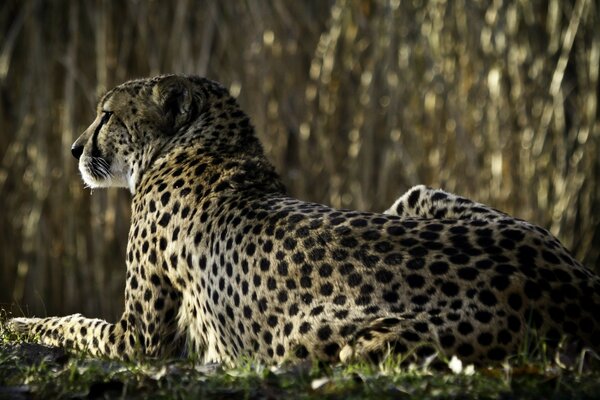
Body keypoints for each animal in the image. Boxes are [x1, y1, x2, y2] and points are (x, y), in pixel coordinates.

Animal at [8, 75, 600, 366]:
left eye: (107, 115)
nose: (73, 149)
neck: (199, 144)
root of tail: (574, 285)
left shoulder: (141, 339)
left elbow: (71, 323)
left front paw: (15, 324)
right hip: (420, 195)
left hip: (332, 338)